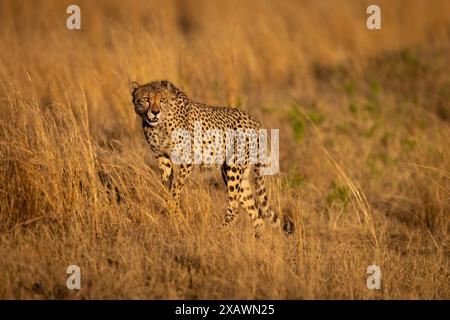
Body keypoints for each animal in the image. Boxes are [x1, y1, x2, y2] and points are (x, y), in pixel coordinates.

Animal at [128, 79, 294, 236]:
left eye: (162, 99)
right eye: (146, 99)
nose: (155, 112)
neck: (159, 124)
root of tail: (253, 121)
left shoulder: (187, 159)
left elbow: (175, 189)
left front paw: (172, 207)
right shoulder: (162, 157)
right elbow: (167, 185)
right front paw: (173, 212)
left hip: (233, 167)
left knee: (235, 207)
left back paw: (219, 233)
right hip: (236, 173)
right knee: (256, 213)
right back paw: (258, 241)